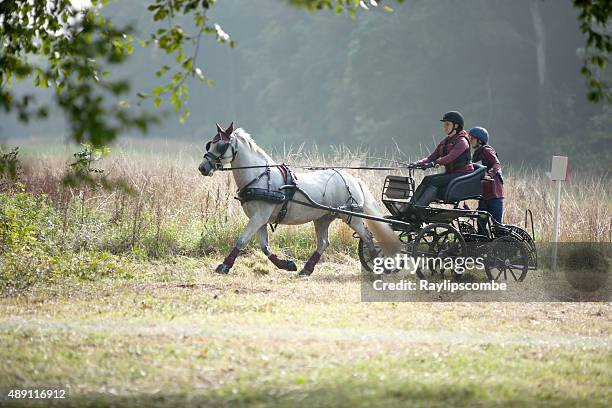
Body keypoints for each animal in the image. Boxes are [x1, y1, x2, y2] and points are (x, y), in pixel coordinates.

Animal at [200, 122, 402, 276]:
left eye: (221, 146)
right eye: (210, 144)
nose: (202, 167)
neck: (259, 177)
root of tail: (352, 179)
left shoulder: (259, 217)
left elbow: (242, 240)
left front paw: (225, 265)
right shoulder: (260, 219)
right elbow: (265, 247)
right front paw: (287, 264)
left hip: (351, 217)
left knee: (367, 237)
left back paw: (379, 264)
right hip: (323, 218)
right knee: (324, 243)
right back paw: (307, 269)